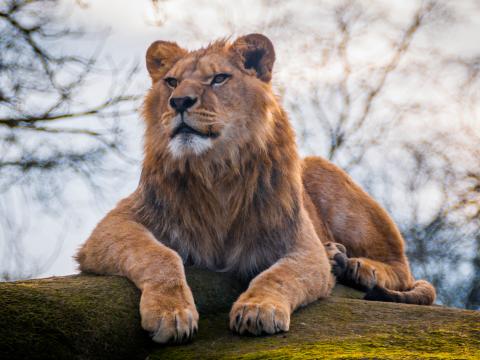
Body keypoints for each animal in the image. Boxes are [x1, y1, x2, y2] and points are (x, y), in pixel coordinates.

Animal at [75, 33, 436, 344]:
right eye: (171, 82)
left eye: (219, 79)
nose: (179, 102)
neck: (214, 170)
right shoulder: (115, 225)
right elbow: (159, 254)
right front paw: (172, 313)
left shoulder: (300, 245)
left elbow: (279, 275)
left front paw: (257, 309)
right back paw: (337, 255)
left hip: (323, 172)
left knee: (401, 267)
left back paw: (359, 267)